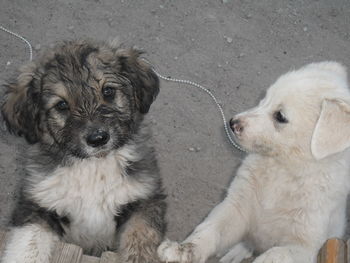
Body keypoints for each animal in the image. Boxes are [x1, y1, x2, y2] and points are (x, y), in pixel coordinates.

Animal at [1, 39, 165, 263]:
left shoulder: (144, 201)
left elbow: (140, 240)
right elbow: (28, 245)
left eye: (108, 92)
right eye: (61, 105)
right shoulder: (37, 205)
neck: (93, 167)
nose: (98, 139)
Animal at [157, 62, 350, 263]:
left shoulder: (305, 245)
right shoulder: (237, 206)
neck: (284, 170)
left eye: (280, 116)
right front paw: (182, 249)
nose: (232, 123)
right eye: (264, 99)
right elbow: (209, 230)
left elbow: (275, 255)